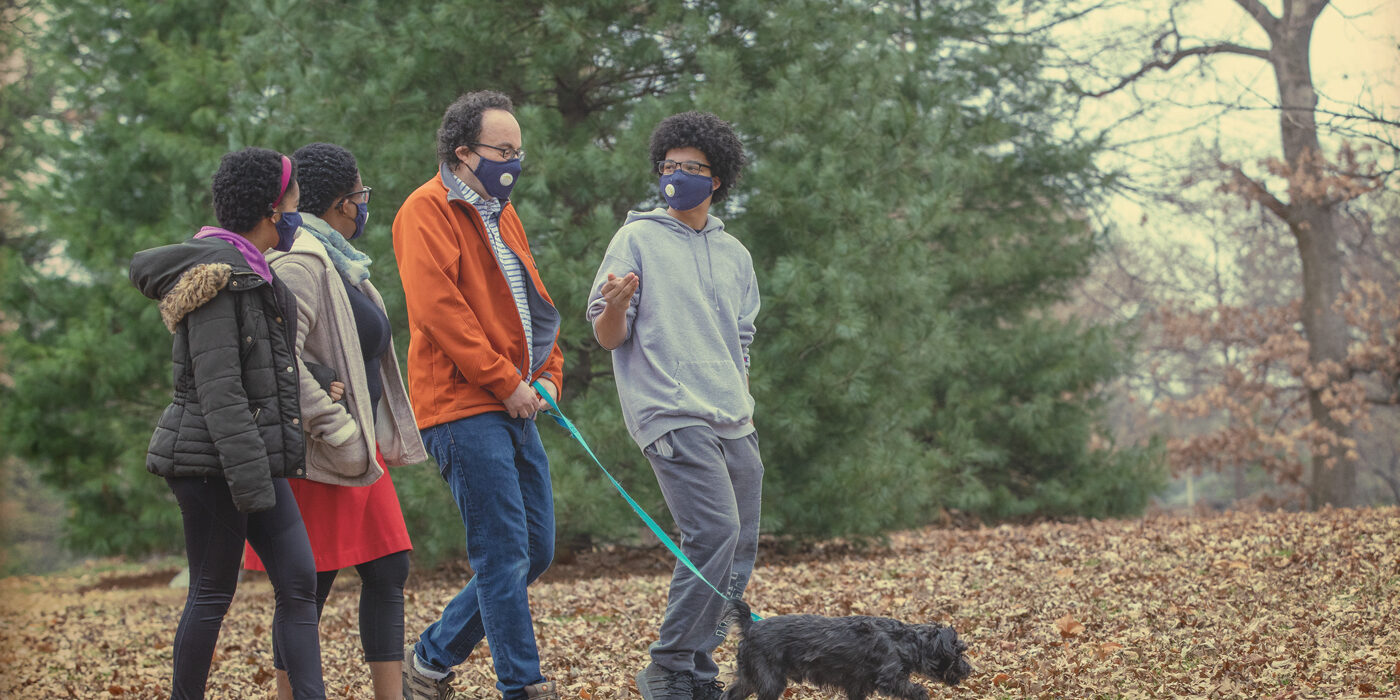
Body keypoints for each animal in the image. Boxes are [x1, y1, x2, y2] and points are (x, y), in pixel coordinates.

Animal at [716, 596, 968, 700]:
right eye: (958, 653)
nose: (970, 670)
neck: (905, 641)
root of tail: (750, 626)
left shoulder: (857, 686)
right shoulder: (891, 680)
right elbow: (916, 691)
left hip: (751, 678)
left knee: (730, 694)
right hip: (770, 682)